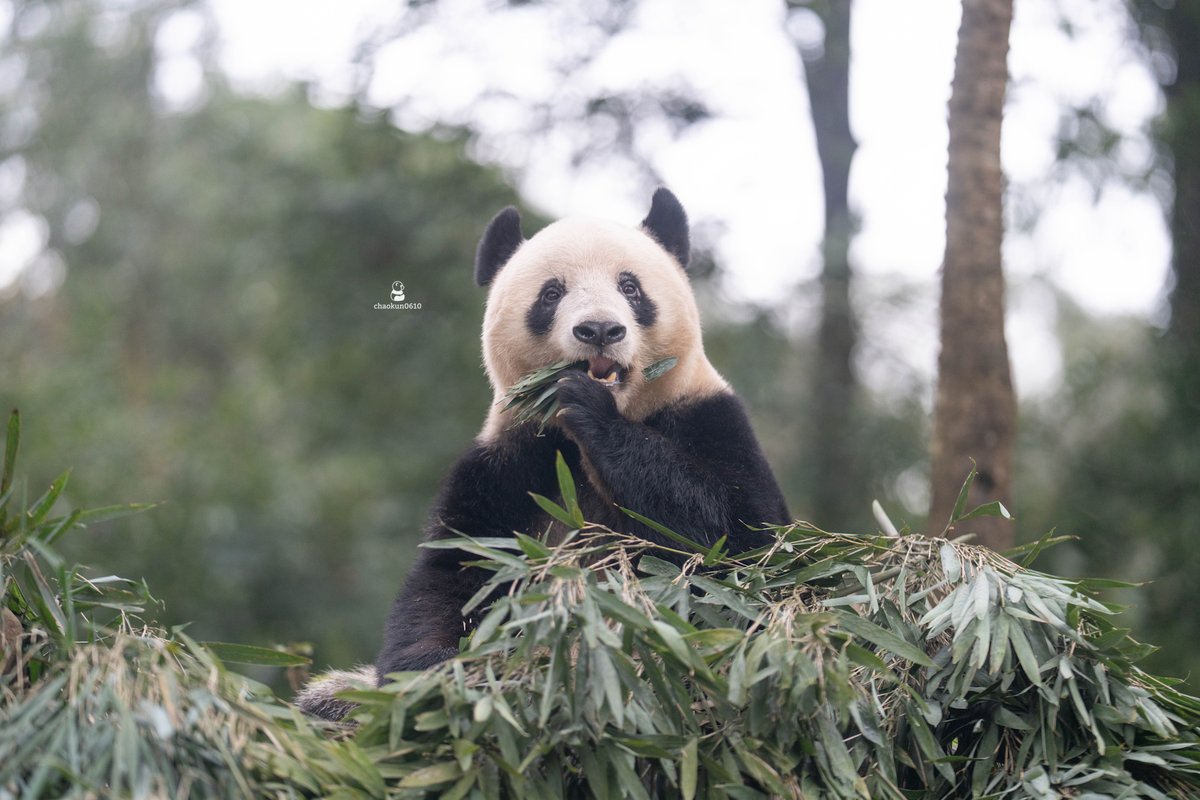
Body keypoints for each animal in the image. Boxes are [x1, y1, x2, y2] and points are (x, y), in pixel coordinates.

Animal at [297, 189, 789, 721]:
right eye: (551, 293)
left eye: (630, 287)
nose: (599, 329)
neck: (575, 445)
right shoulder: (510, 461)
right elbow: (456, 573)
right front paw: (440, 675)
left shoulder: (708, 417)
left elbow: (737, 545)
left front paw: (589, 409)